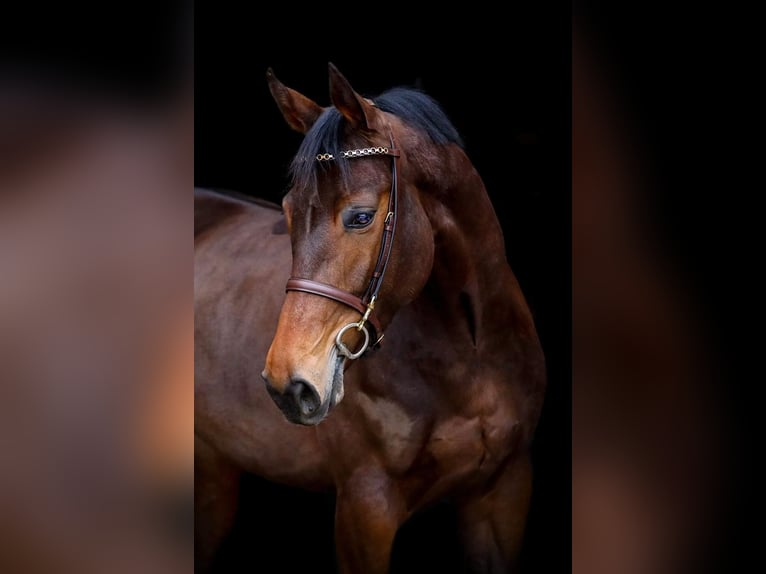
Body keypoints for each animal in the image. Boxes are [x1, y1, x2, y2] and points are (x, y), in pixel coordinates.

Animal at [194, 63, 547, 573]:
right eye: (287, 213)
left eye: (360, 217)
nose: (286, 384)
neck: (473, 355)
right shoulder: (366, 506)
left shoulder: (503, 492)